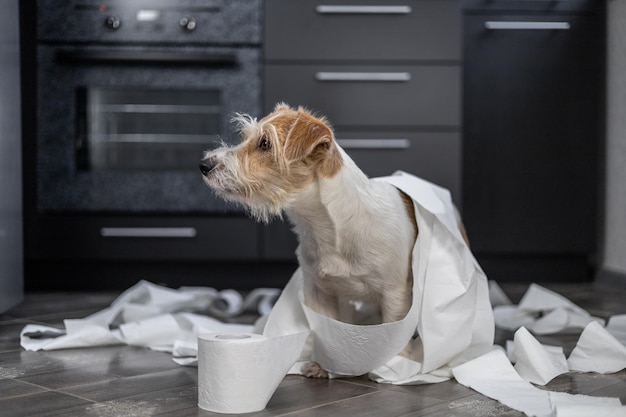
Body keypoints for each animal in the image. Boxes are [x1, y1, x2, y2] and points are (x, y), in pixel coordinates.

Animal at [197, 103, 416, 376]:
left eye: (265, 143)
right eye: (245, 137)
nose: (204, 164)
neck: (329, 229)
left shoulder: (395, 295)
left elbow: (397, 333)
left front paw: (396, 368)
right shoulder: (319, 293)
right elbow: (327, 332)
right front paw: (323, 366)